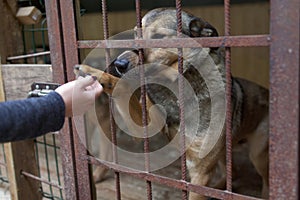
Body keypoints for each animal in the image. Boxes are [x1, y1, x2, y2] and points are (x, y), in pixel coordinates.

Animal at [75, 8, 270, 200]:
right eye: (136, 34)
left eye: (158, 37)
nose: (118, 64)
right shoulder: (141, 127)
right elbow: (121, 85)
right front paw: (91, 73)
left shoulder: (200, 172)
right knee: (233, 173)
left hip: (258, 156)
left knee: (264, 181)